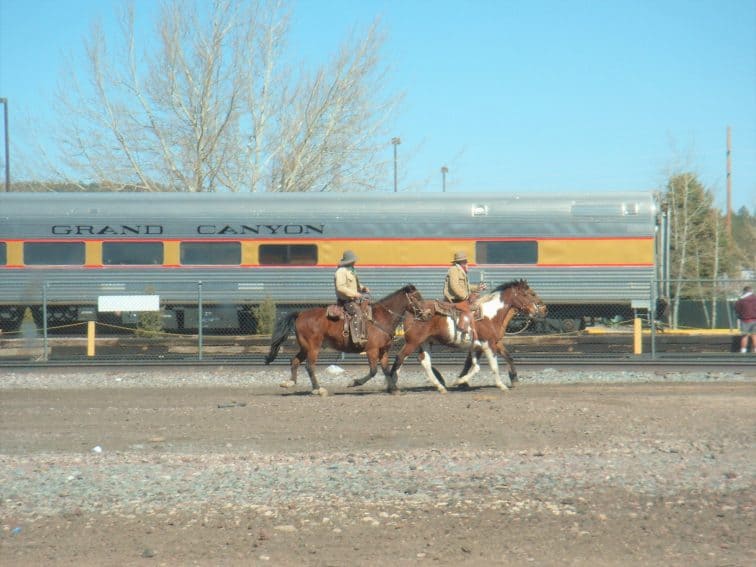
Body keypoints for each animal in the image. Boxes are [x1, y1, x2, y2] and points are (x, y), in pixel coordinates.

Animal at [264, 286, 426, 398]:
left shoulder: (383, 351)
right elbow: (373, 371)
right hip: (313, 347)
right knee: (309, 366)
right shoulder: (372, 350)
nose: (427, 313)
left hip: (305, 348)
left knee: (295, 361)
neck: (381, 318)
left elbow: (386, 370)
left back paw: (289, 383)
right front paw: (354, 383)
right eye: (417, 297)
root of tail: (301, 314)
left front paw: (395, 390)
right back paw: (319, 390)